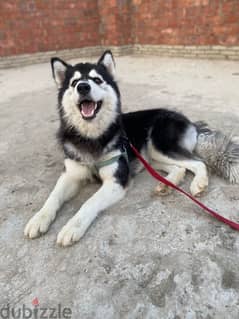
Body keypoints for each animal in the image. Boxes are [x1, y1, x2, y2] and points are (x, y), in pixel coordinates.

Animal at [24, 51, 239, 248]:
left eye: (97, 79)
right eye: (74, 82)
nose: (83, 87)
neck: (91, 137)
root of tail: (188, 120)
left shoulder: (117, 180)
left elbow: (90, 202)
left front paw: (72, 227)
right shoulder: (71, 174)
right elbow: (53, 196)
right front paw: (38, 219)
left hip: (159, 144)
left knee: (198, 162)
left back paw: (198, 184)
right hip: (151, 155)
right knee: (180, 168)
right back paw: (166, 184)